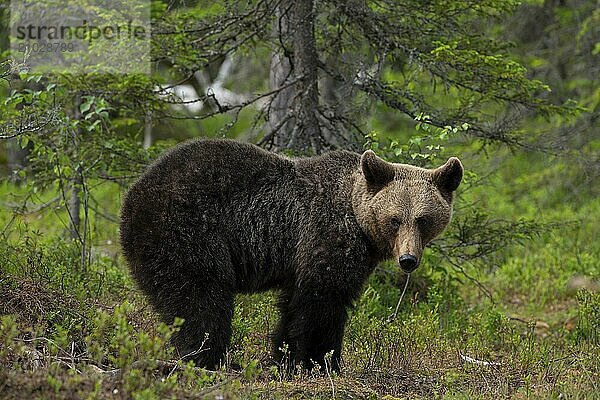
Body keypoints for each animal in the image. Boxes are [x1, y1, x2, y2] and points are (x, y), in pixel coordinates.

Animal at [119, 138, 462, 372]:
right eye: (395, 219)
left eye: (423, 219)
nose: (408, 260)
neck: (358, 222)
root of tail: (132, 196)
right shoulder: (324, 236)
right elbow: (320, 302)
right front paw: (317, 362)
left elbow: (296, 305)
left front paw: (284, 358)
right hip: (187, 232)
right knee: (201, 300)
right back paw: (208, 358)